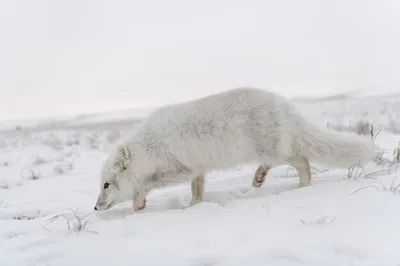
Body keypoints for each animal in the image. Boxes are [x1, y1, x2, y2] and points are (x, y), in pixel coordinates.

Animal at [94, 87, 376, 212]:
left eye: (106, 185)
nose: (95, 208)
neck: (147, 149)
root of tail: (285, 105)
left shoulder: (180, 169)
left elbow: (146, 185)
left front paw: (139, 203)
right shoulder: (197, 170)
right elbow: (197, 191)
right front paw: (193, 207)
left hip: (273, 149)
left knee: (302, 160)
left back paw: (302, 186)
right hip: (268, 149)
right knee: (279, 162)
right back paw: (259, 178)